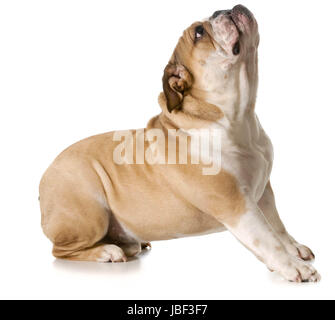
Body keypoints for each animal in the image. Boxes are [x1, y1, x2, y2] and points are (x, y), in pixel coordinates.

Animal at [39, 4, 320, 280]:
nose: (223, 10)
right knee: (61, 250)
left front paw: (294, 248)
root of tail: (44, 179)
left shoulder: (264, 193)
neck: (239, 117)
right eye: (199, 32)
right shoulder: (236, 204)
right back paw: (107, 251)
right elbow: (266, 238)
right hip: (89, 214)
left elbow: (276, 225)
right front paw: (293, 266)